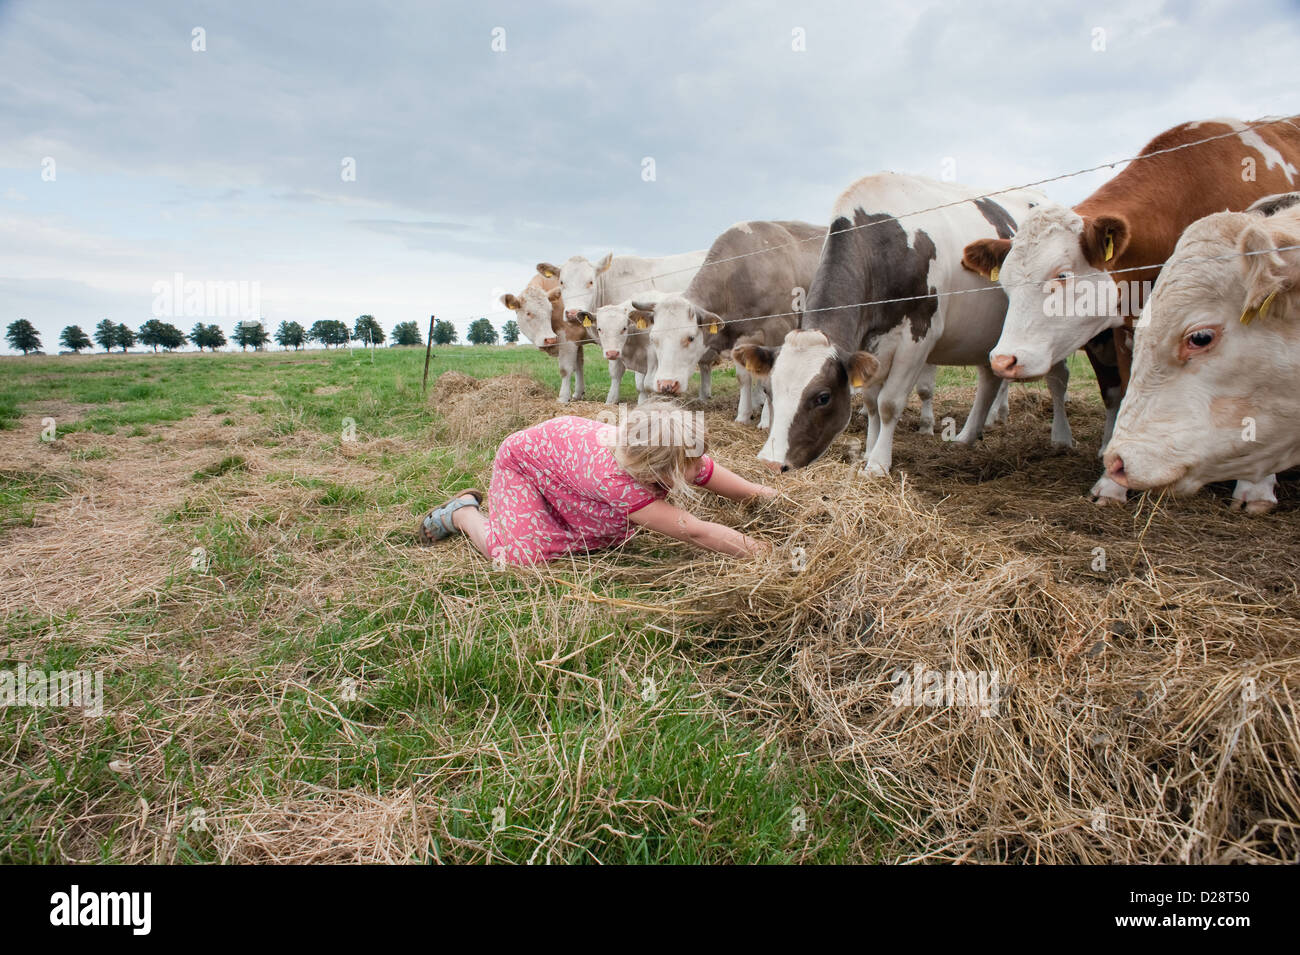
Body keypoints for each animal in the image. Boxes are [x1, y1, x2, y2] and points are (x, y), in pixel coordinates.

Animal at [501, 274, 591, 403]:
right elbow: (579, 366)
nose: (550, 339)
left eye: (550, 311)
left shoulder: (569, 336)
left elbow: (566, 369)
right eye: (528, 313)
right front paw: (578, 394)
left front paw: (563, 398)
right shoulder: (578, 341)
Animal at [537, 248, 707, 401]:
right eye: (561, 282)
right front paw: (611, 400)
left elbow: (643, 380)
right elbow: (615, 371)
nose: (572, 313)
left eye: (590, 282)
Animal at [741, 173, 1067, 475]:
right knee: (989, 379)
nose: (771, 462)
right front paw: (868, 451)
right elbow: (871, 401)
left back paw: (1061, 438)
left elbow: (888, 403)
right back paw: (967, 436)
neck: (886, 246)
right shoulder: (870, 344)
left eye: (823, 397)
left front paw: (877, 465)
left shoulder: (918, 336)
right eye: (768, 390)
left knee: (1057, 379)